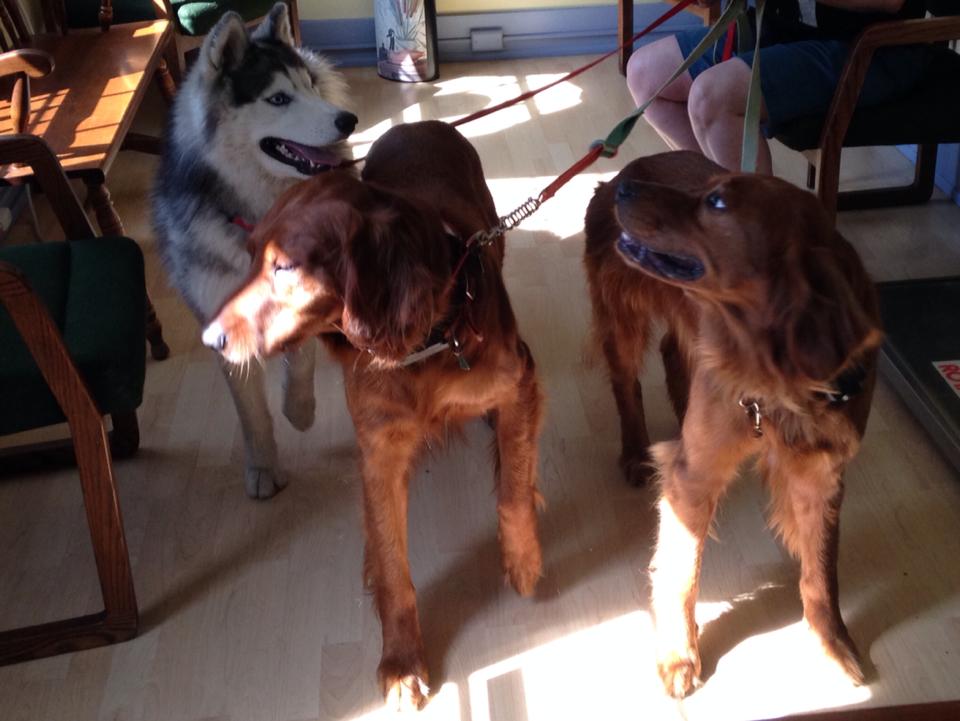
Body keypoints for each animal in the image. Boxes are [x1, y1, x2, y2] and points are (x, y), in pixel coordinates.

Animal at [153, 3, 358, 499]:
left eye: (308, 86)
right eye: (278, 99)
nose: (347, 120)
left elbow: (300, 361)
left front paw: (299, 410)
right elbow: (252, 413)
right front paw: (263, 466)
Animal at [201, 121, 545, 710]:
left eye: (284, 266)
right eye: (248, 256)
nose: (211, 340)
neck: (428, 343)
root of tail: (420, 122)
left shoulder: (518, 382)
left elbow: (512, 490)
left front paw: (523, 559)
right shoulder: (380, 449)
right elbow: (391, 561)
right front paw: (402, 663)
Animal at [584, 151, 882, 697]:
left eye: (717, 201)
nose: (627, 192)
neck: (775, 380)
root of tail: (624, 167)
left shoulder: (821, 478)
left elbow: (821, 573)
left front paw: (832, 645)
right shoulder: (693, 474)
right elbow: (682, 568)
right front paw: (679, 654)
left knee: (674, 352)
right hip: (622, 315)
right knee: (627, 383)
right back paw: (635, 451)